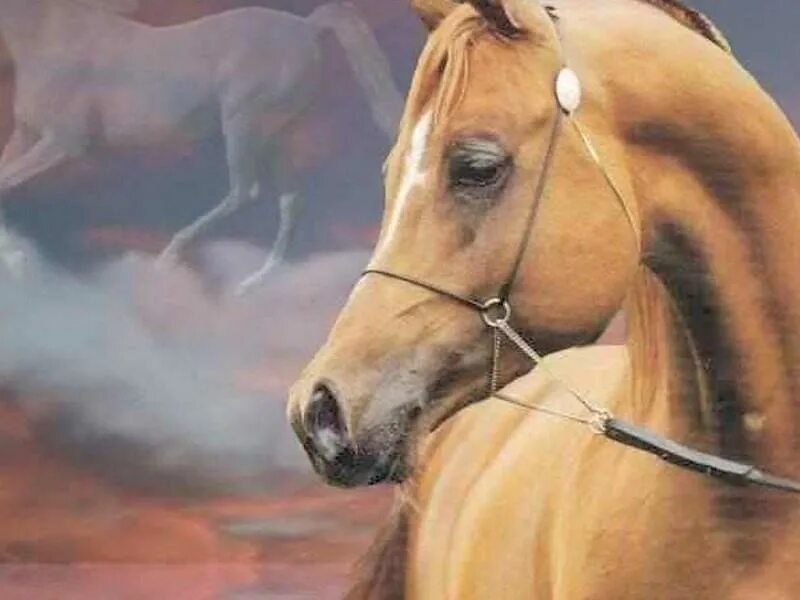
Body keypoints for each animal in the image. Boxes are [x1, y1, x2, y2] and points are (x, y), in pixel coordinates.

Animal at [0, 0, 402, 292]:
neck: (48, 35)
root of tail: (306, 27)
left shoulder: (64, 142)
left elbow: (5, 183)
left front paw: (14, 259)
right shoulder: (25, 135)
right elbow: (5, 177)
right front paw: (14, 258)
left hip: (242, 123)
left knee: (245, 191)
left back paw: (167, 259)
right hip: (277, 135)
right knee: (291, 202)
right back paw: (251, 285)